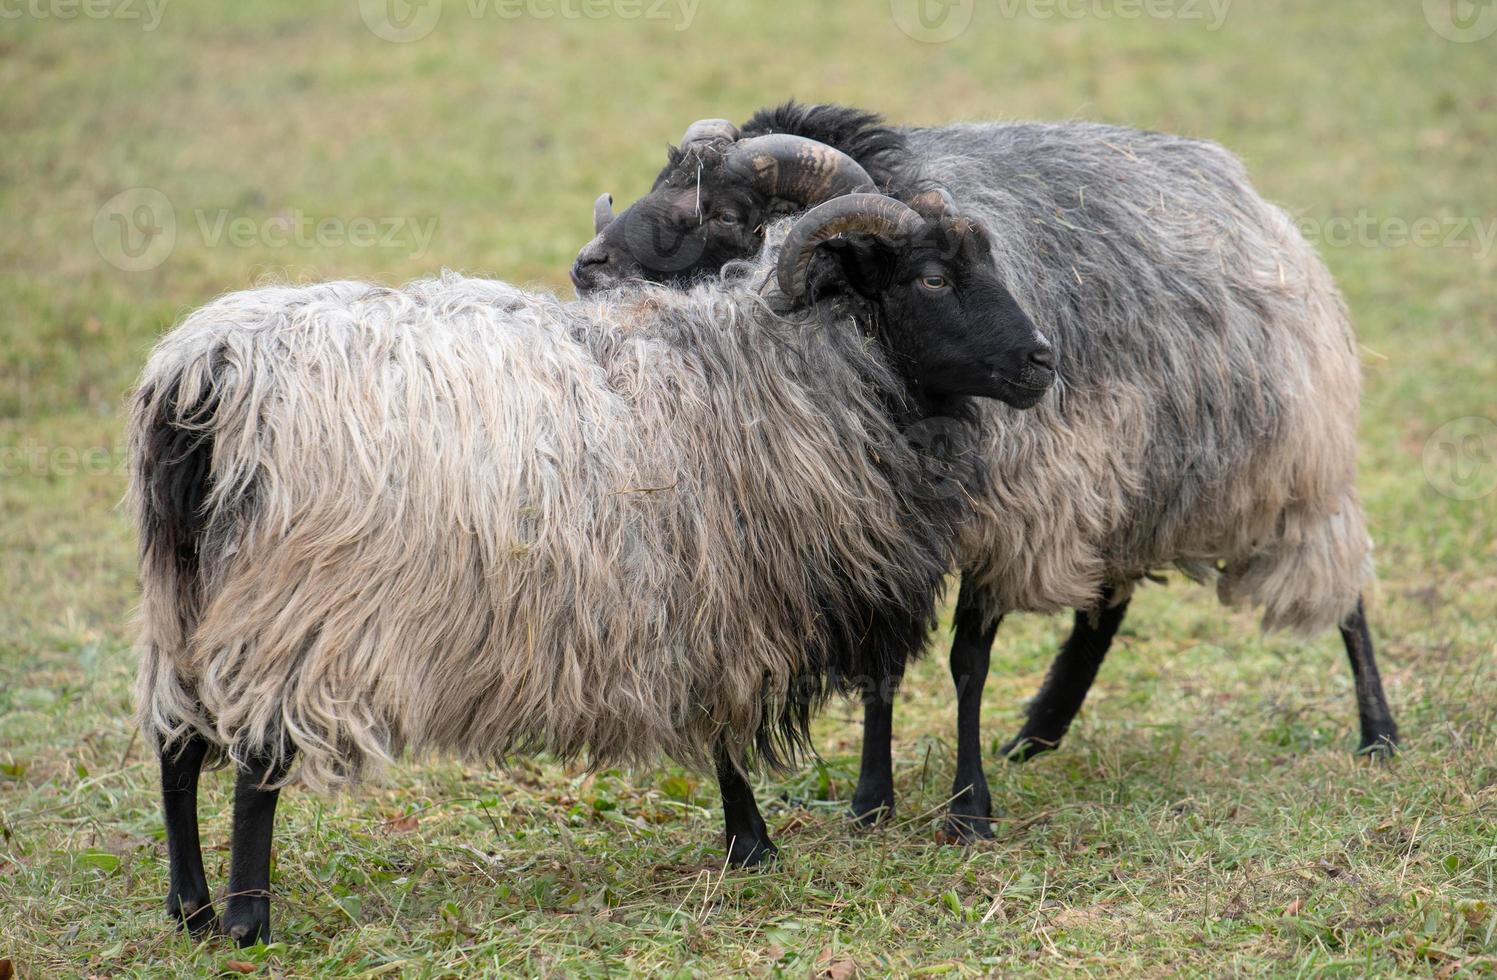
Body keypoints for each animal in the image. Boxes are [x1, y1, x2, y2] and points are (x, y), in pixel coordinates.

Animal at [134, 193, 1059, 951]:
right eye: (933, 279)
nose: (1041, 362)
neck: (775, 367)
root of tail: (205, 376)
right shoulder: (722, 592)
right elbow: (722, 728)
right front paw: (752, 842)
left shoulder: (699, 592)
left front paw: (747, 842)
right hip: (294, 607)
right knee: (254, 766)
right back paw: (247, 922)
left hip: (182, 597)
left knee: (175, 749)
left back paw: (189, 910)